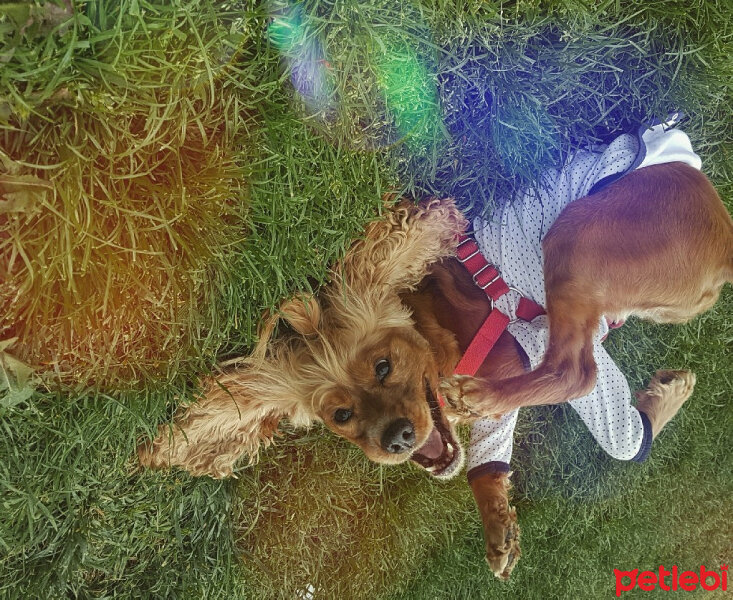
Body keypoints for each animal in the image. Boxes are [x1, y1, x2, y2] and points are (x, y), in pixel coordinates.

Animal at [139, 124, 732, 580]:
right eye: (341, 415)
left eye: (383, 366)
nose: (397, 439)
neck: (438, 330)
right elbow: (490, 460)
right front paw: (498, 525)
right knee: (613, 418)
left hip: (580, 235)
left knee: (579, 374)